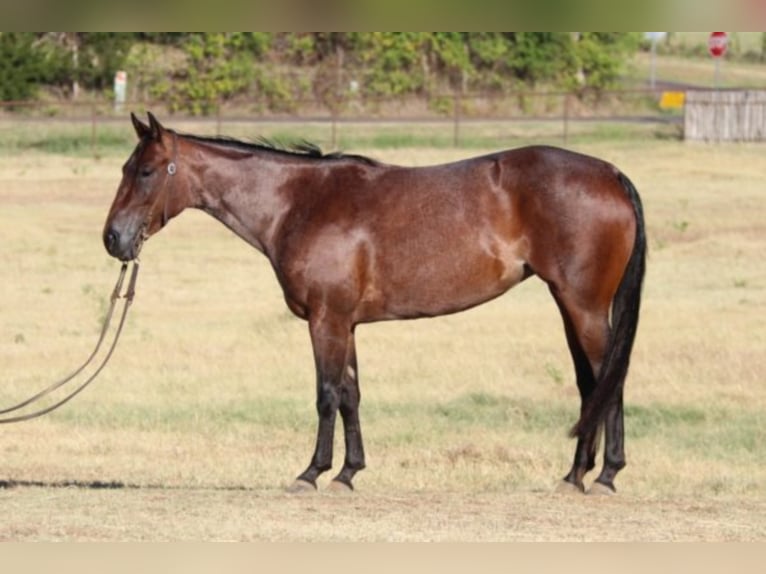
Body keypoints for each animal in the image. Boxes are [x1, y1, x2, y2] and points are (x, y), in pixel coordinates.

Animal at [102, 112, 644, 496]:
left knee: (609, 380)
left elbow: (325, 394)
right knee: (591, 385)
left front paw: (310, 473)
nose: (113, 238)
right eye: (126, 168)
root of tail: (611, 173)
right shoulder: (346, 323)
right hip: (570, 306)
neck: (300, 202)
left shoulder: (325, 320)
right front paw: (347, 474)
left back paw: (604, 477)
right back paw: (576, 476)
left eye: (146, 171)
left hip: (584, 307)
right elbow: (350, 394)